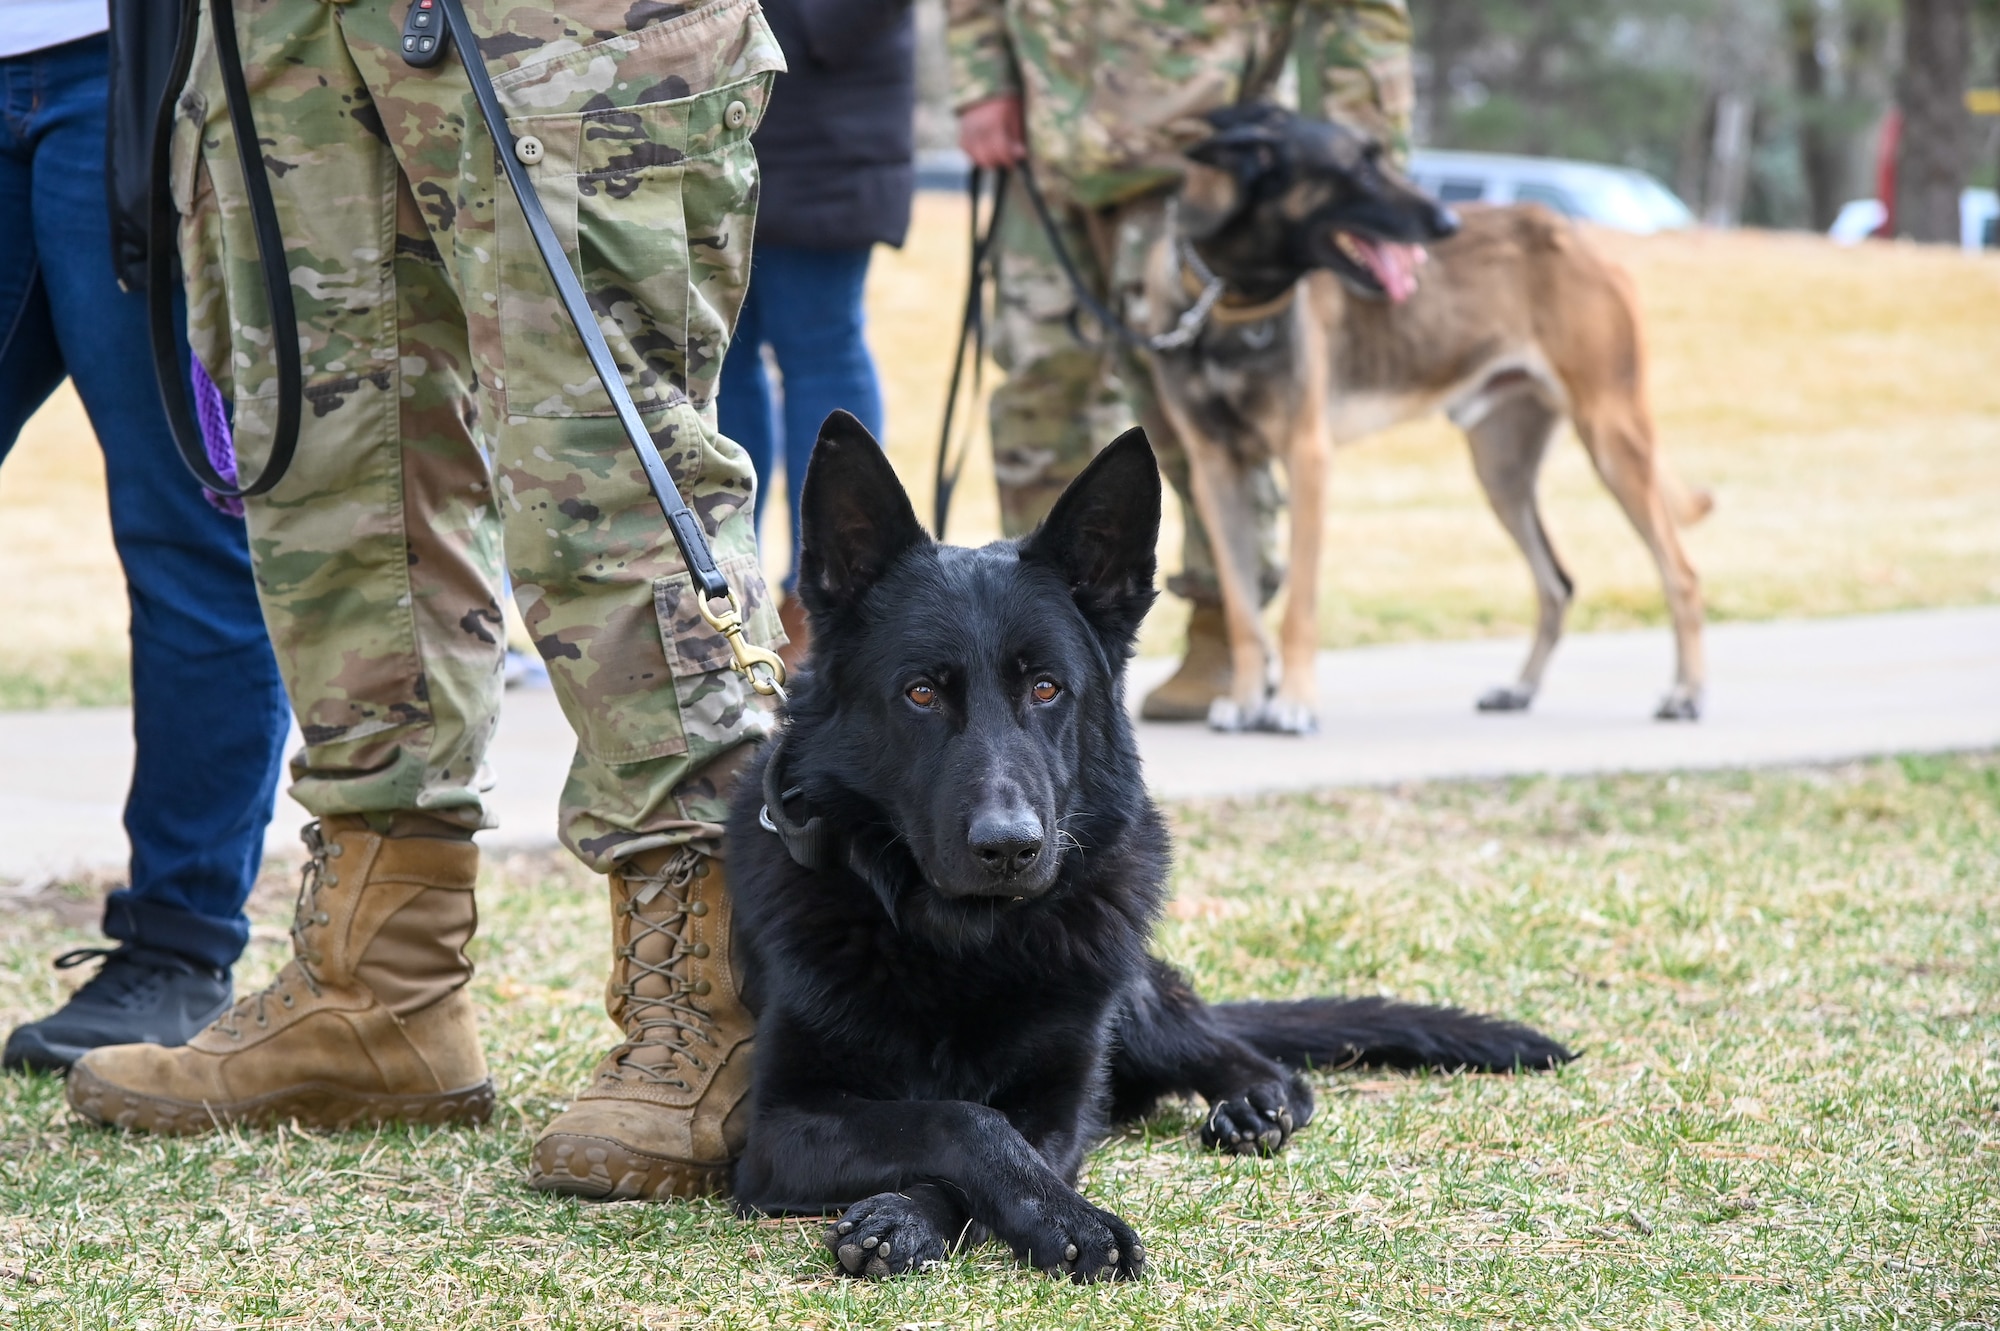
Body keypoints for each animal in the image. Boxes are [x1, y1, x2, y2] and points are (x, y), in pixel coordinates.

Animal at [728, 411, 1568, 1279]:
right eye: (921, 693)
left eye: (1047, 687)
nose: (1010, 847)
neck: (964, 943)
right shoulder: (779, 1128)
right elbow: (956, 1118)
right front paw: (1005, 1217)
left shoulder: (1064, 1101)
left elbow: (997, 1136)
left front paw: (950, 1213)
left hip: (1129, 996)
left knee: (1246, 1053)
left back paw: (1257, 1098)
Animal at [1144, 107, 1704, 731]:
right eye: (1361, 168)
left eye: (1380, 156)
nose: (1447, 222)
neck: (1230, 298)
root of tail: (1574, 236)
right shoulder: (1216, 472)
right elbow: (1243, 611)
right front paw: (1244, 701)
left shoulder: (1307, 459)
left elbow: (1298, 608)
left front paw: (1292, 703)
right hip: (1502, 474)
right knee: (1556, 583)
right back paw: (1520, 689)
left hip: (1612, 441)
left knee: (1681, 574)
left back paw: (1686, 694)